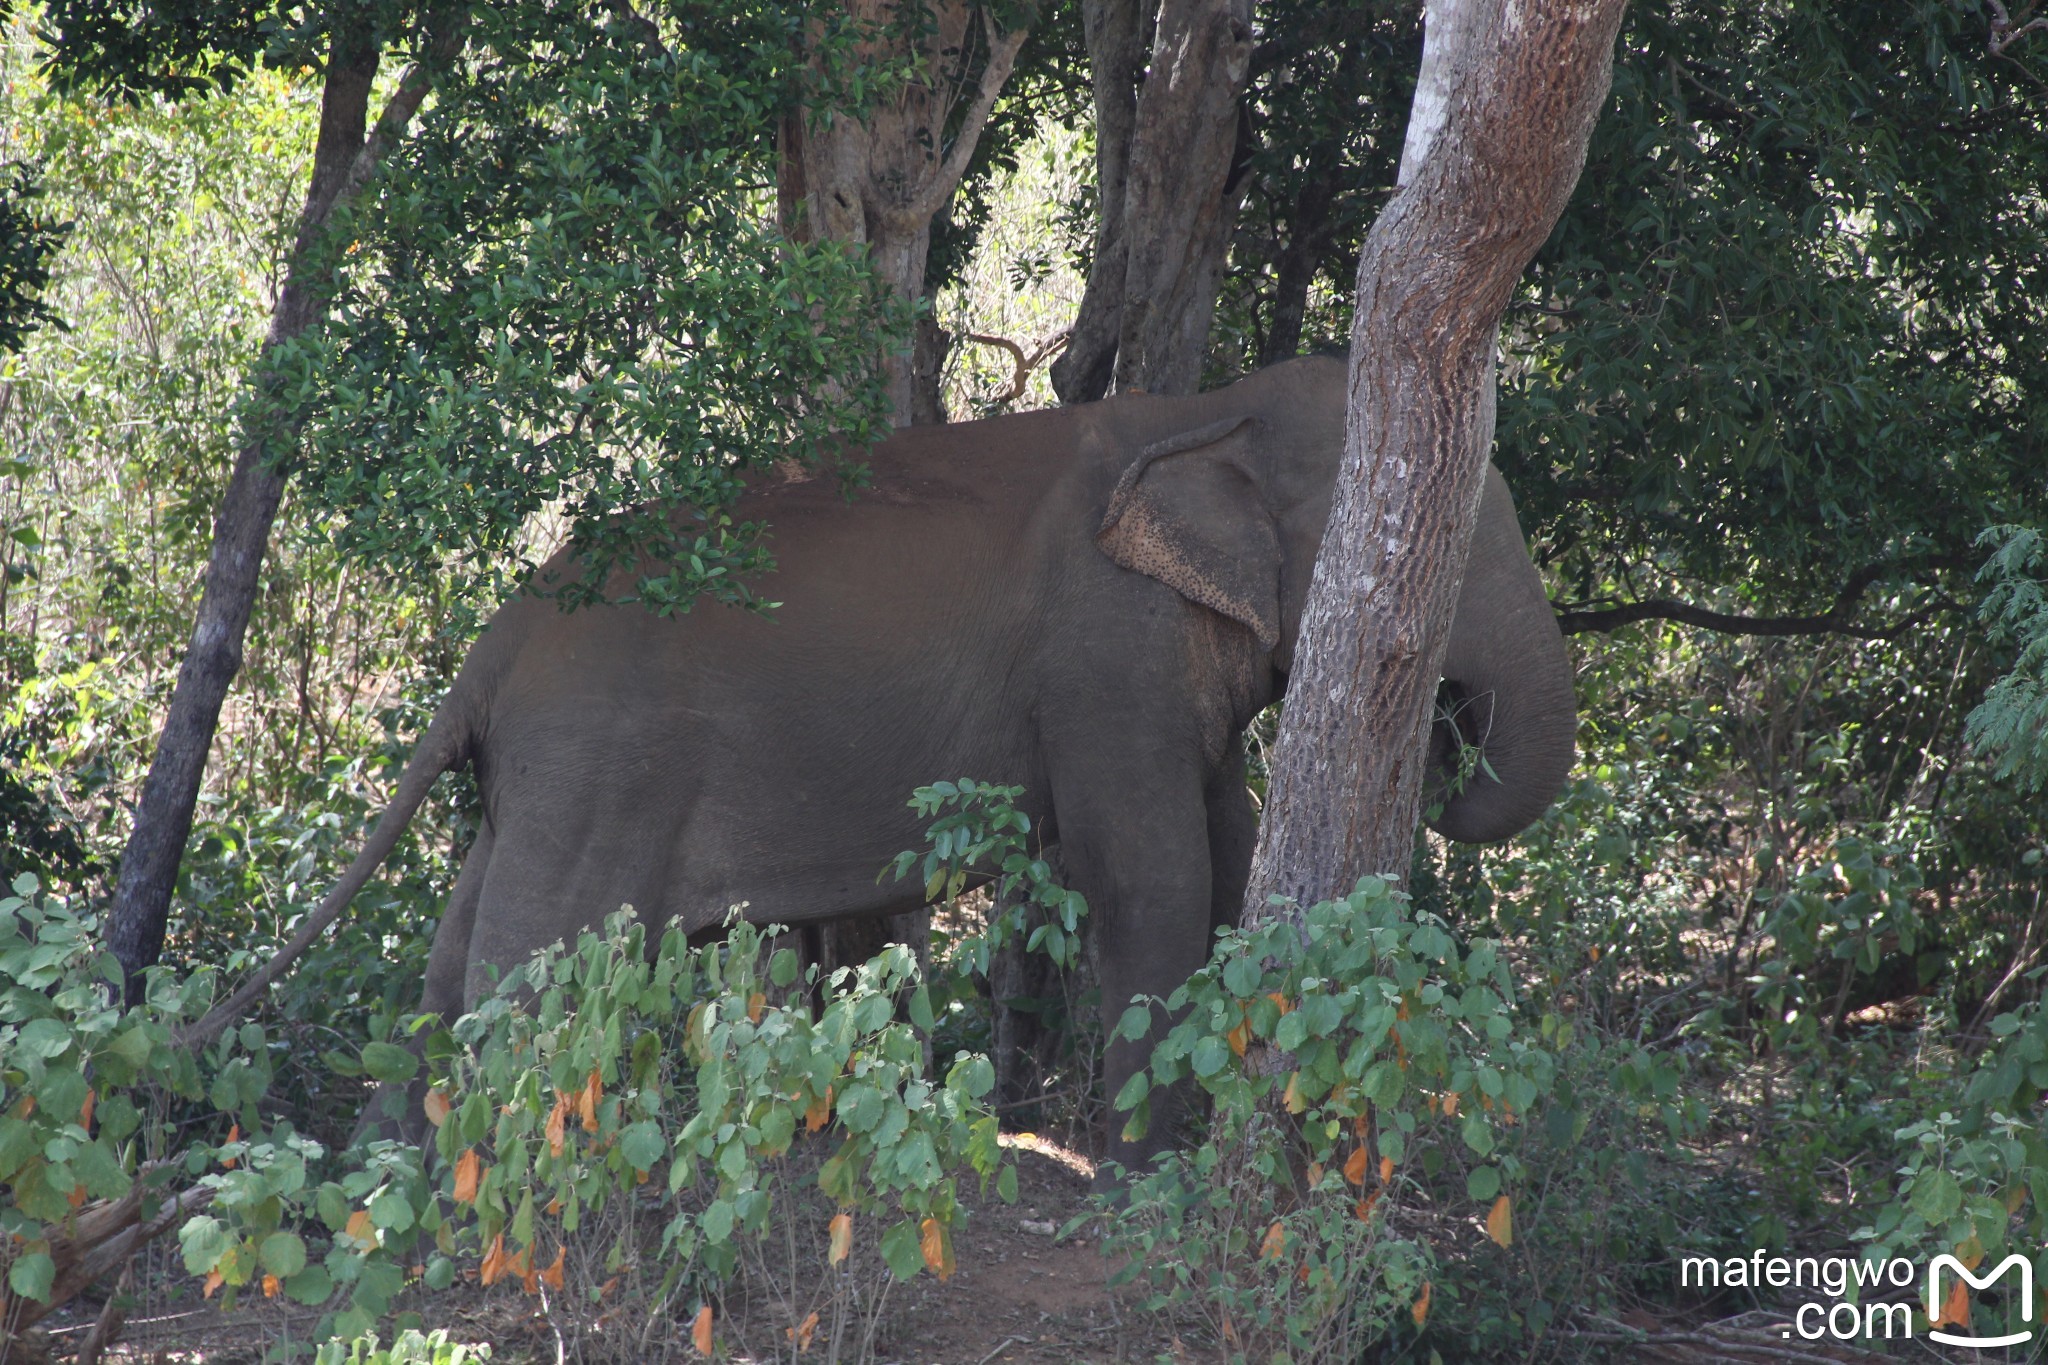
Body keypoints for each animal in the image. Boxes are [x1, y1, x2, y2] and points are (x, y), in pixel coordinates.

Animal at [311, 358, 1572, 1170]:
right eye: (1437, 552)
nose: (1446, 726)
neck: (1210, 412)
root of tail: (496, 642)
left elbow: (1228, 847)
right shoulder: (1101, 655)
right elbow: (1149, 874)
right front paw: (1143, 1173)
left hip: (537, 782)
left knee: (455, 946)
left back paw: (380, 1180)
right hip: (596, 769)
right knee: (525, 964)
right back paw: (477, 1190)